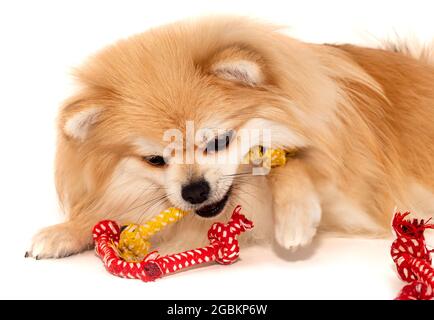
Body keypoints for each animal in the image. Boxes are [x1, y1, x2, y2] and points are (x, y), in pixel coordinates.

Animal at [27, 16, 434, 258]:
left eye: (218, 142)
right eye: (155, 160)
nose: (194, 191)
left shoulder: (353, 199)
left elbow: (291, 164)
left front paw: (295, 218)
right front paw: (66, 230)